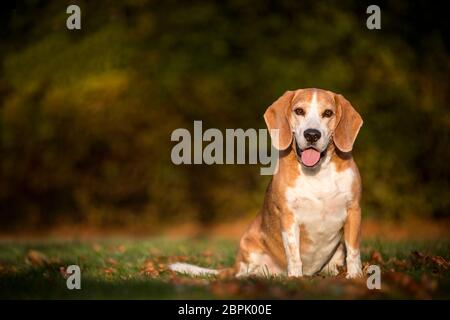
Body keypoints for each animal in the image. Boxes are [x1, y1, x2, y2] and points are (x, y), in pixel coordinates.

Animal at [171, 89, 364, 278]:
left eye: (328, 113)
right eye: (299, 111)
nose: (312, 134)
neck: (317, 172)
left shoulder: (353, 210)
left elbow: (353, 251)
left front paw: (355, 276)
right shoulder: (288, 216)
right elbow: (294, 254)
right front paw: (296, 278)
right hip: (249, 244)